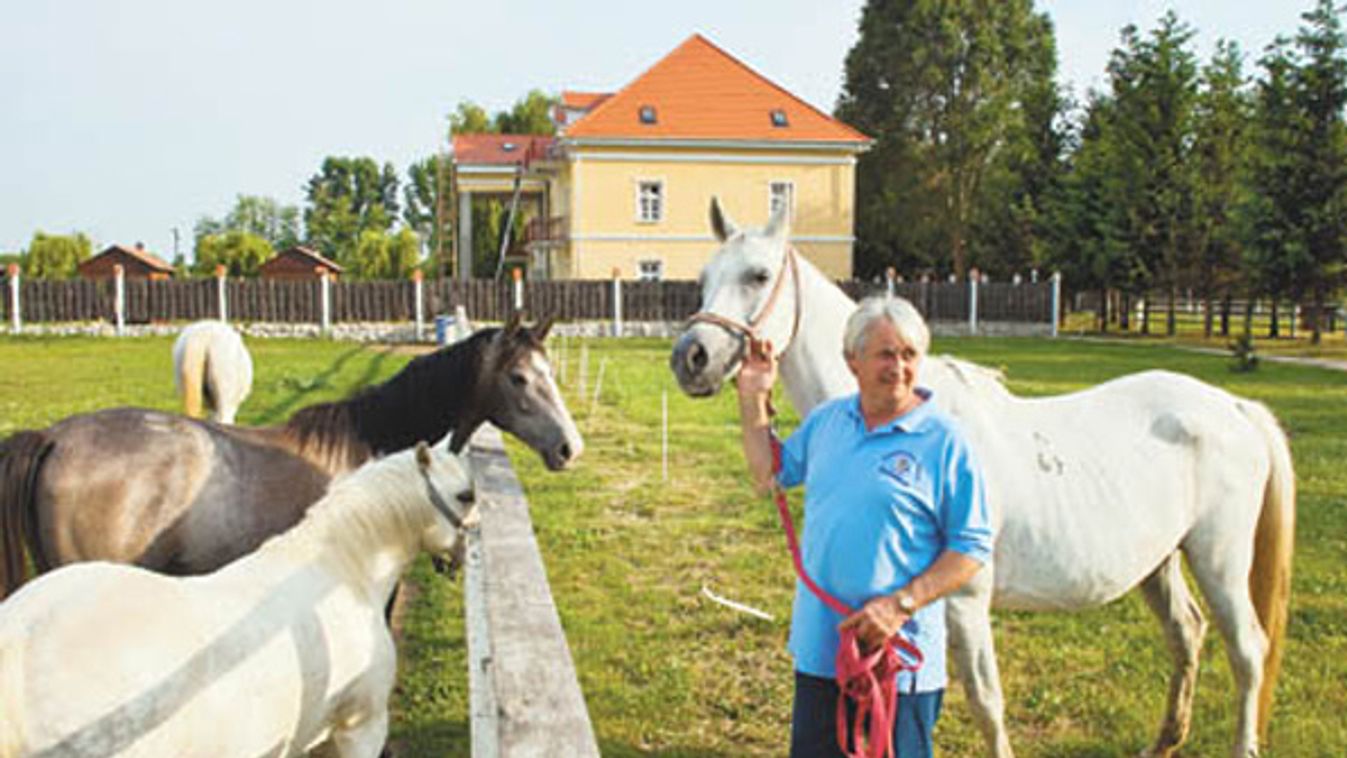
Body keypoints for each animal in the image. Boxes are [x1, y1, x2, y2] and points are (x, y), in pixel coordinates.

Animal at [670, 200, 1293, 758]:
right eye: (703, 279)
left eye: (758, 275)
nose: (690, 358)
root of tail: (1235, 407)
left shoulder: (964, 599)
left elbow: (984, 702)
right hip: (1159, 562)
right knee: (1187, 634)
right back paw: (1163, 743)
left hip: (1218, 559)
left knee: (1248, 650)